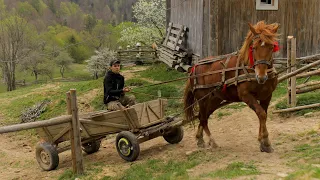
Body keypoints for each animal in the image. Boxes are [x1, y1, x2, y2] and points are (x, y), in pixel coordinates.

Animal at [184, 21, 278, 153]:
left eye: (271, 47)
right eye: (254, 48)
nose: (261, 77)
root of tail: (194, 67)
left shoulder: (267, 95)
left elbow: (263, 115)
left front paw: (263, 143)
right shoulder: (246, 96)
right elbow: (262, 114)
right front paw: (265, 141)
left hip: (214, 99)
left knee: (203, 116)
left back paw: (200, 139)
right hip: (202, 99)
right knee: (203, 119)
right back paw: (212, 141)